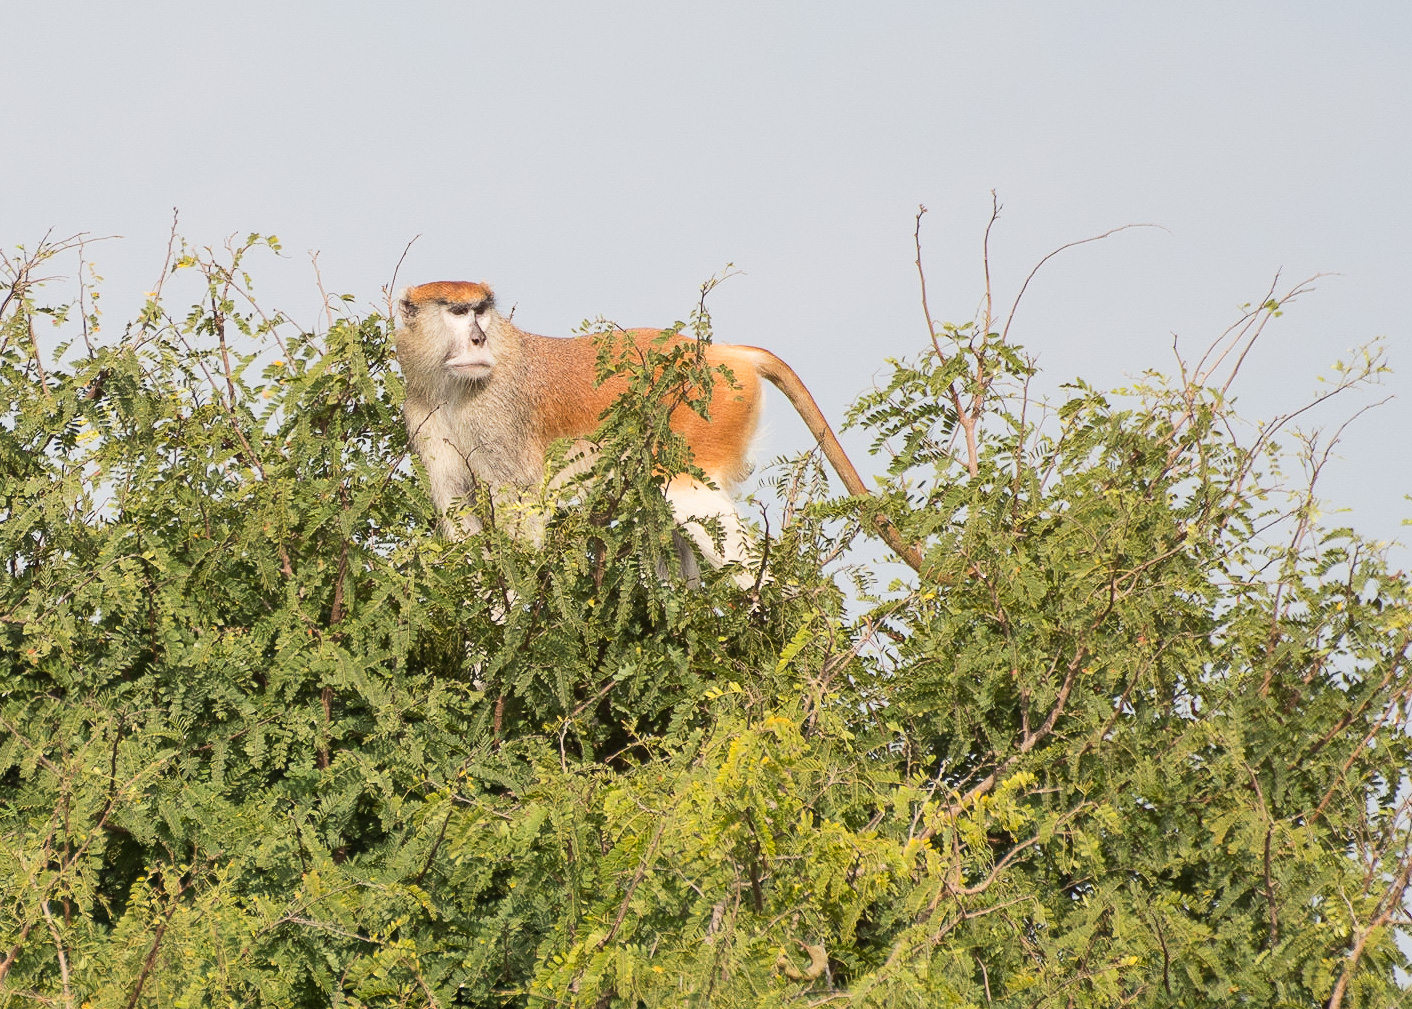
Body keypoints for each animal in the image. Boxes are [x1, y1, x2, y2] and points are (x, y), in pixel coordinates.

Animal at [398, 282, 926, 584]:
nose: (478, 339)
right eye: (457, 313)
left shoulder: (498, 416)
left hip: (708, 414)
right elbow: (460, 520)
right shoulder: (422, 412)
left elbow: (522, 511)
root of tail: (725, 353)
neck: (454, 386)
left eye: (481, 311)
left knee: (689, 500)